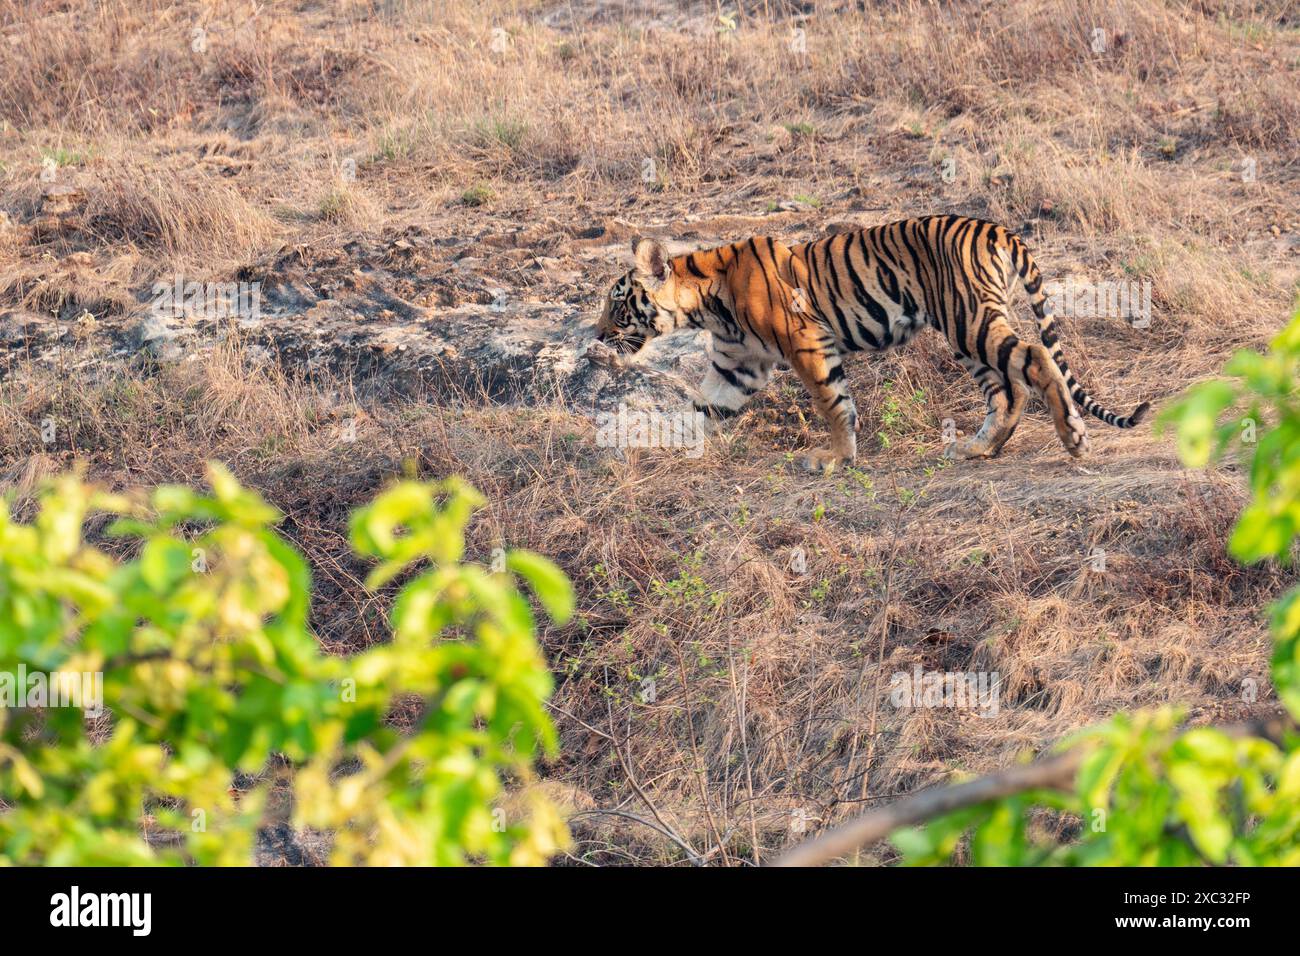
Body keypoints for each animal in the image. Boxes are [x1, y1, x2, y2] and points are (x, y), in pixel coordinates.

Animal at [595, 214, 1154, 473]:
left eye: (618, 305)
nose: (595, 336)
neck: (707, 302)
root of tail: (994, 225)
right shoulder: (738, 366)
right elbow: (702, 408)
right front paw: (657, 445)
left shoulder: (807, 344)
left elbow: (833, 403)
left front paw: (835, 459)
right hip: (965, 332)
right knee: (1008, 390)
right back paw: (980, 448)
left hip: (968, 318)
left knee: (1034, 358)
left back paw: (1073, 438)